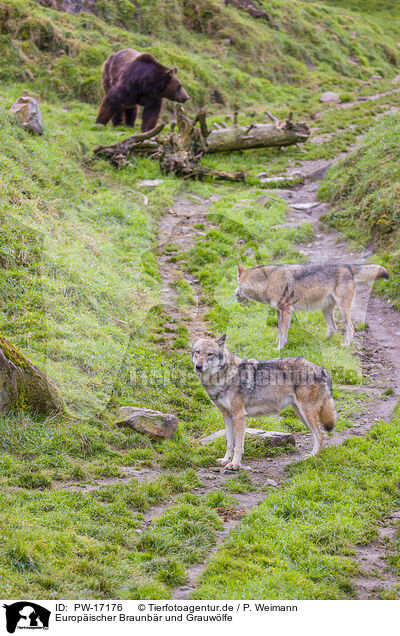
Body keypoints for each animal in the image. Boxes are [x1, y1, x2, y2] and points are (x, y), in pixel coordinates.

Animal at [192, 336, 336, 470]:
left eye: (210, 354)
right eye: (197, 352)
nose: (198, 366)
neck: (224, 377)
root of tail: (321, 369)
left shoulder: (239, 416)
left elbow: (238, 445)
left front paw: (234, 464)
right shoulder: (227, 416)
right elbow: (229, 443)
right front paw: (225, 460)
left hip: (306, 413)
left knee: (320, 435)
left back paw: (312, 457)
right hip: (301, 414)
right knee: (317, 434)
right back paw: (311, 456)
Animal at [234, 262, 388, 348]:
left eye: (237, 284)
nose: (234, 294)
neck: (268, 281)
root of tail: (348, 266)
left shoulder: (286, 310)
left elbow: (283, 333)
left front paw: (279, 349)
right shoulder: (279, 311)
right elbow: (279, 331)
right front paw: (275, 345)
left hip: (343, 311)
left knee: (350, 327)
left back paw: (346, 346)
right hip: (326, 311)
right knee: (333, 327)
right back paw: (322, 343)